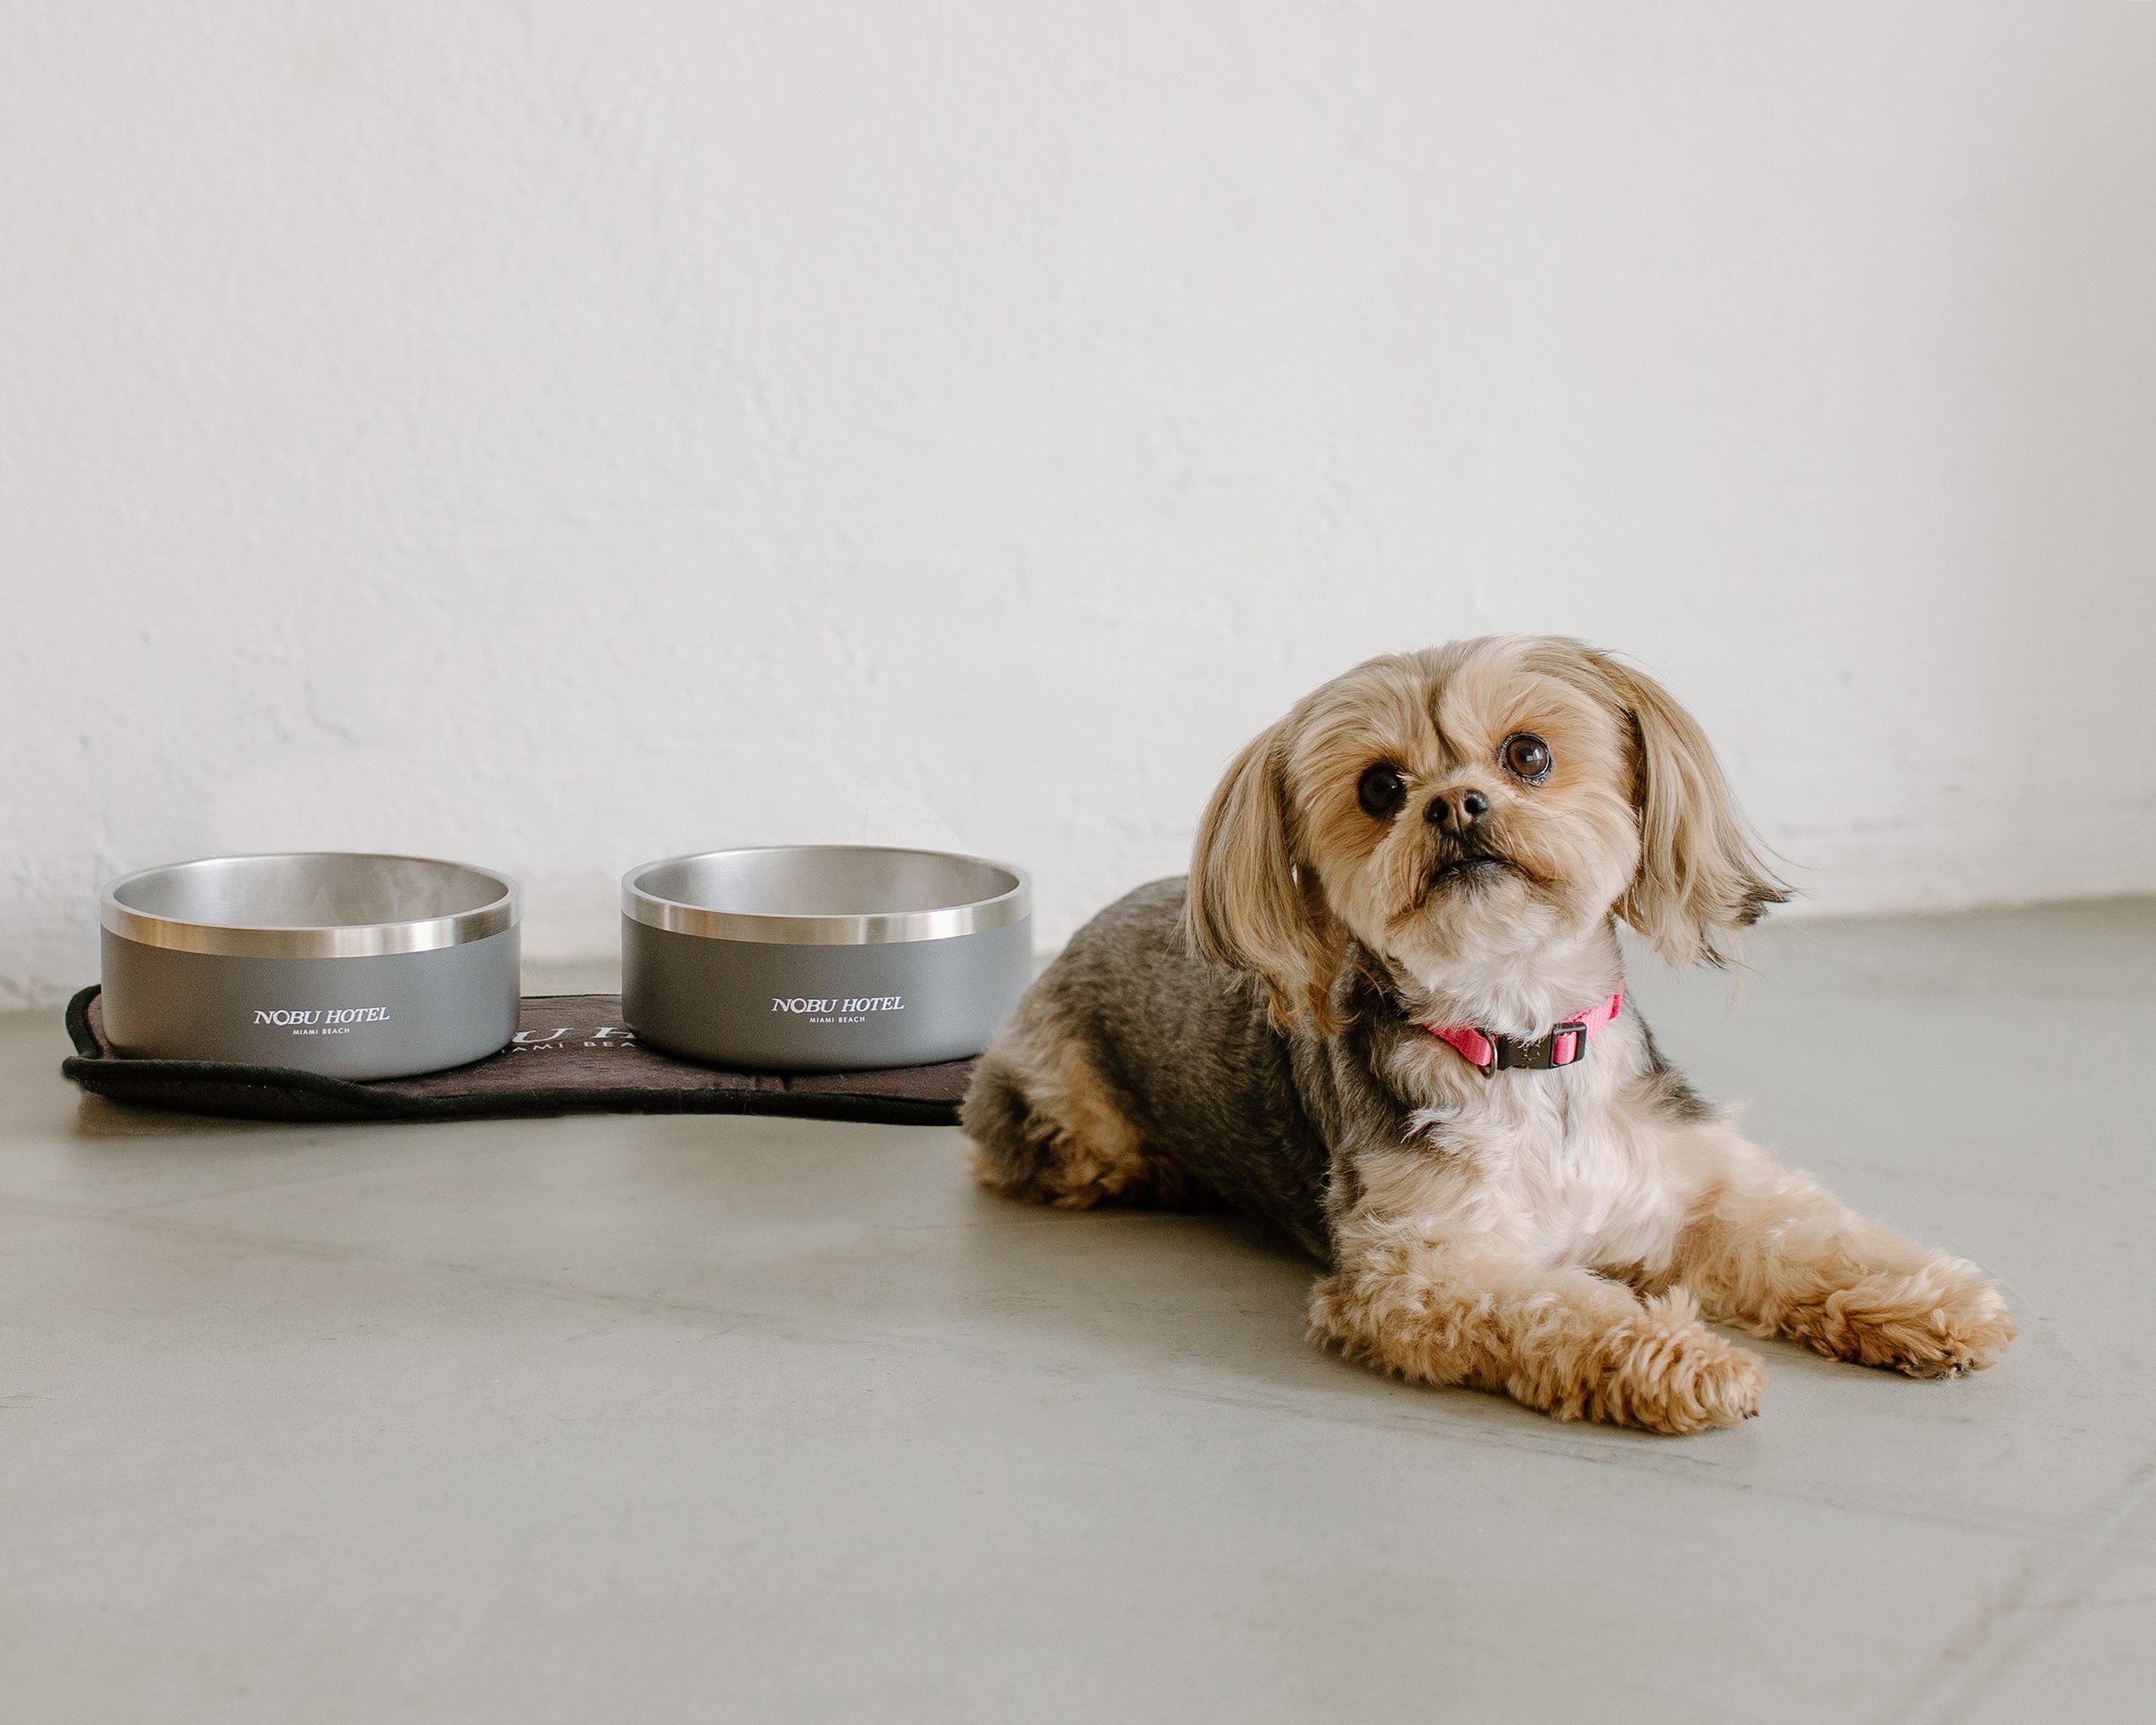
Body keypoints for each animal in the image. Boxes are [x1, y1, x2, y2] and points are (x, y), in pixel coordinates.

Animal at [970, 633, 2009, 1431]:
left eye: (1528, 755)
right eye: (1380, 787)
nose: (1455, 803)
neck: (1525, 1045)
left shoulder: (1698, 1185)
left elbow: (1806, 1235)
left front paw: (1931, 1300)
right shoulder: (1425, 1266)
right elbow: (1562, 1308)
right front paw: (1683, 1358)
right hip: (1061, 1118)